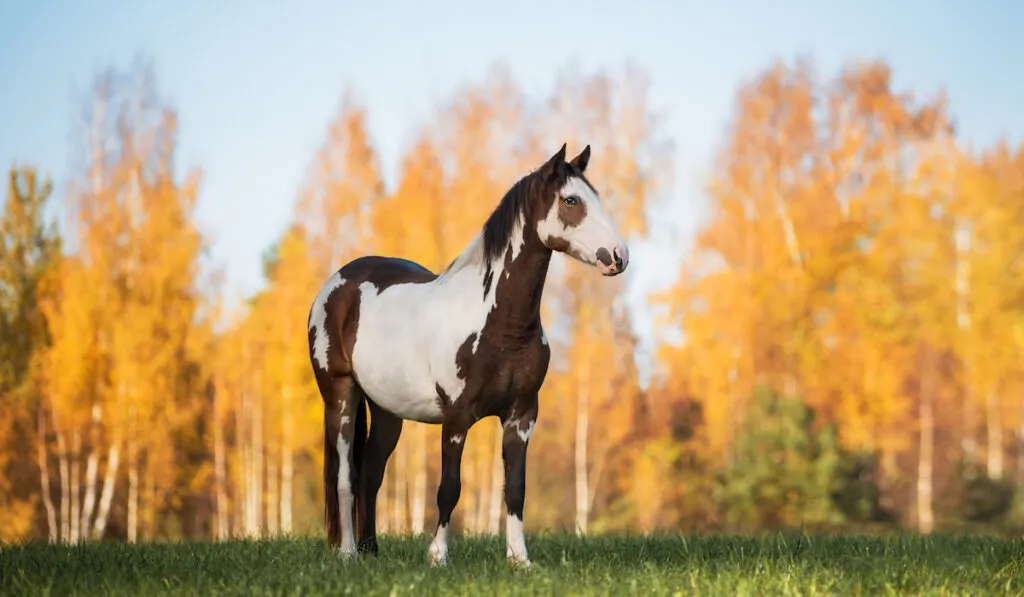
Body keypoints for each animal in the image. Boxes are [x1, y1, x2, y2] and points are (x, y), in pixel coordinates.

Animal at [303, 142, 626, 569]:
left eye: (596, 197)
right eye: (571, 200)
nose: (619, 256)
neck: (496, 321)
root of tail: (337, 284)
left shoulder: (522, 414)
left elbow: (516, 488)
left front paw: (519, 559)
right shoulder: (456, 418)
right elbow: (449, 488)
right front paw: (438, 557)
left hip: (387, 411)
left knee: (371, 472)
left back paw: (372, 550)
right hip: (340, 397)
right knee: (346, 477)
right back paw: (349, 553)